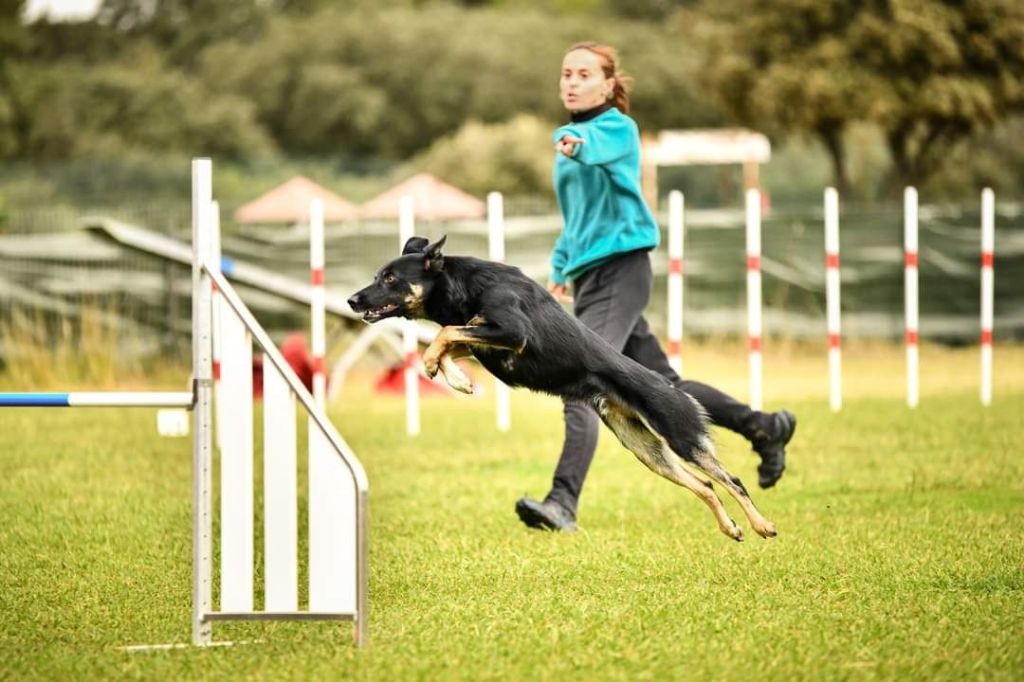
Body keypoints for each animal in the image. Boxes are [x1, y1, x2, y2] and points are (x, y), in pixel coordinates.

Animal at [348, 236, 778, 540]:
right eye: (378, 275)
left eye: (389, 278)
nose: (352, 300)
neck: (462, 284)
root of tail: (679, 392)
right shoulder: (489, 339)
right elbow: (451, 338)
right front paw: (455, 377)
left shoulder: (513, 332)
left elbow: (448, 332)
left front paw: (439, 368)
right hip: (646, 451)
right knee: (705, 486)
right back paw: (731, 528)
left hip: (681, 437)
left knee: (732, 481)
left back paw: (762, 525)